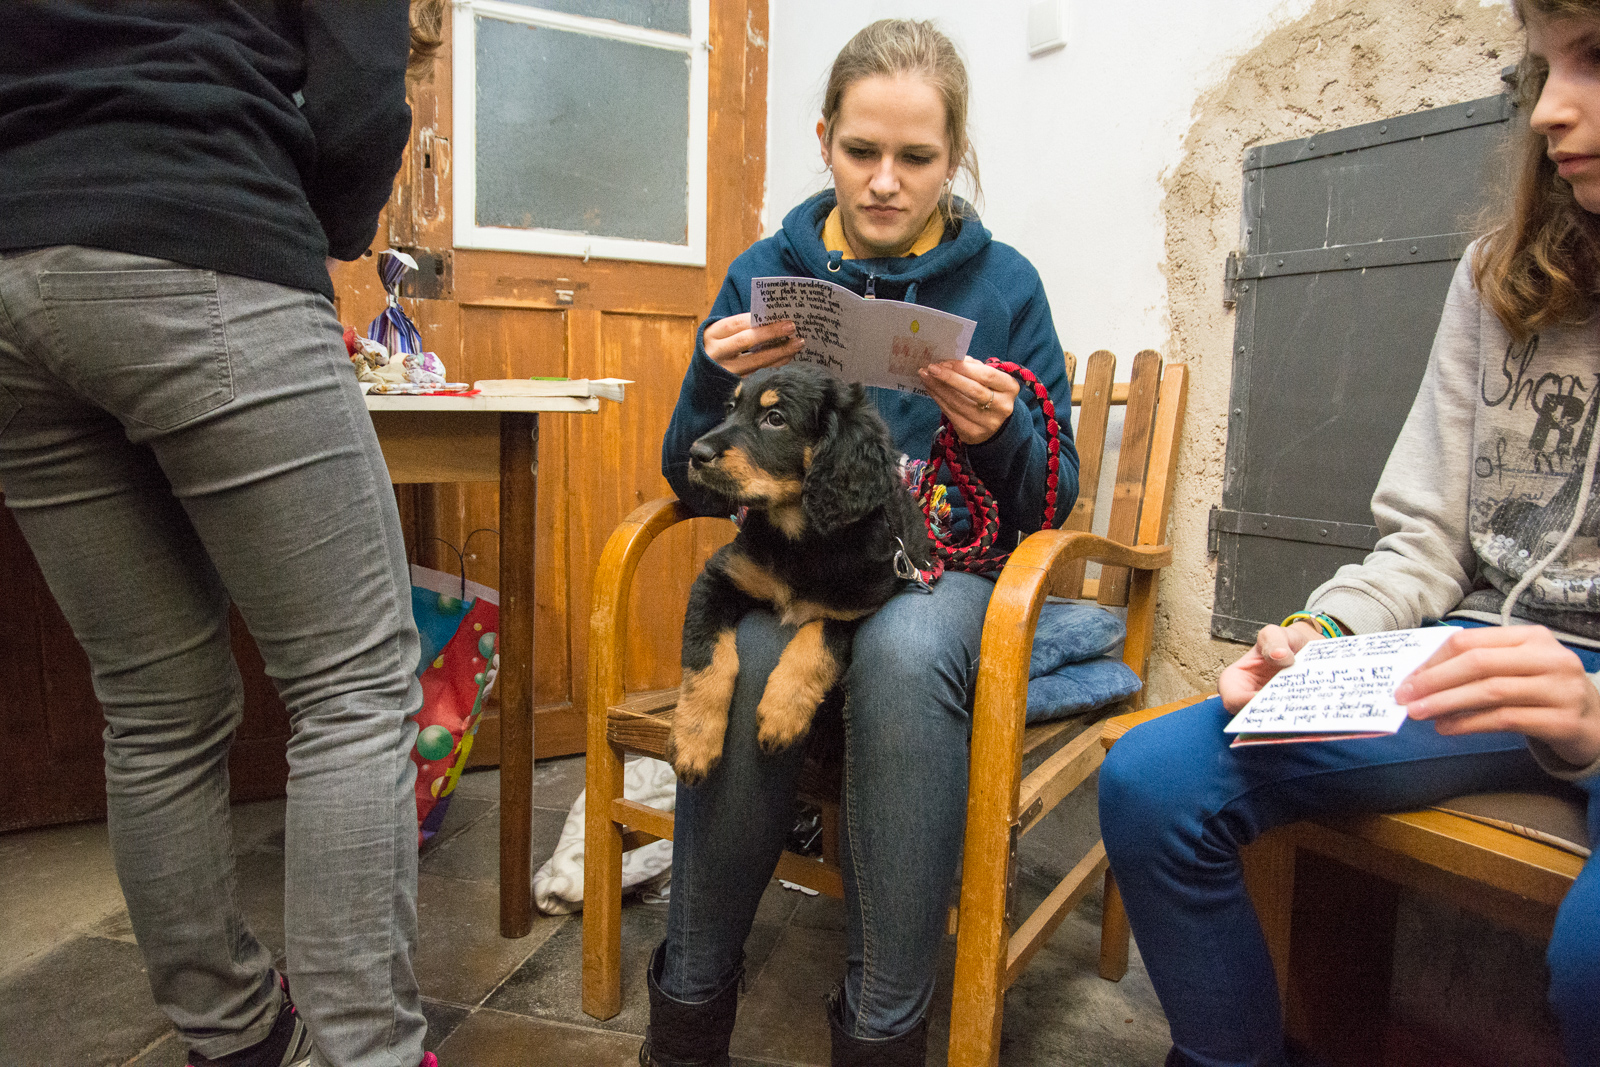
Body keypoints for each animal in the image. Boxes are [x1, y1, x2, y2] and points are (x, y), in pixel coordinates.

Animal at [668, 362, 935, 784]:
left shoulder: (858, 608)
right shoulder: (719, 578)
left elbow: (817, 643)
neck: (800, 538)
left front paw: (782, 714)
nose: (696, 454)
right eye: (730, 408)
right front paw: (694, 741)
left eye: (775, 419)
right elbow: (706, 657)